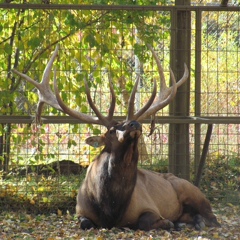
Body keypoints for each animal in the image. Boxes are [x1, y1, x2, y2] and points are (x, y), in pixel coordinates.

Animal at [12, 44, 220, 231]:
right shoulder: (80, 211)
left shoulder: (149, 206)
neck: (110, 208)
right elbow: (85, 223)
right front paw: (171, 223)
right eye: (112, 130)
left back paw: (196, 222)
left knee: (213, 216)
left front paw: (168, 223)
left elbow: (144, 222)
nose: (134, 124)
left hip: (191, 190)